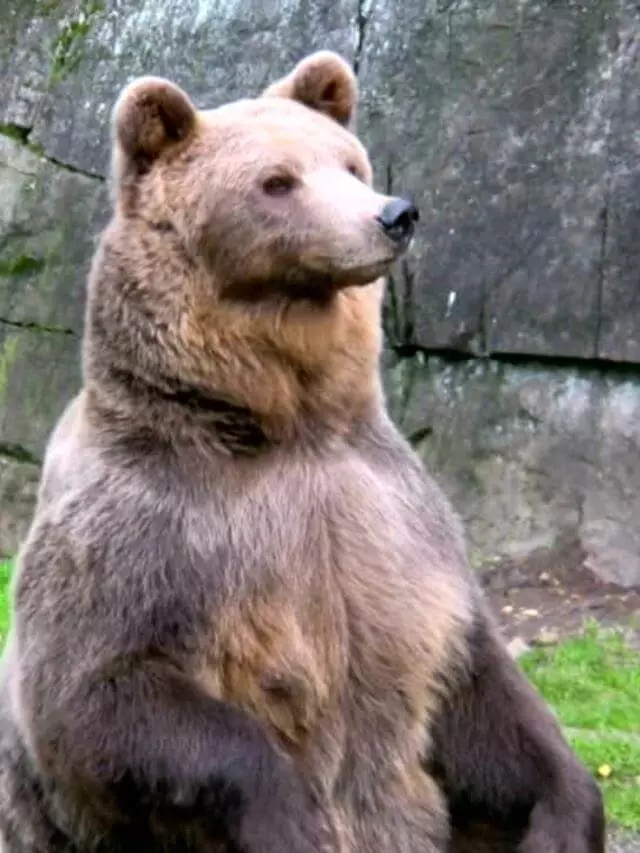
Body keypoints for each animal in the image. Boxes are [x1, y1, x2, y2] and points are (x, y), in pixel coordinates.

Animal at [0, 50, 604, 853]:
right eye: (277, 181)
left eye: (350, 162)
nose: (393, 213)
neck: (288, 423)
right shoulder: (146, 528)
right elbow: (96, 693)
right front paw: (291, 816)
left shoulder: (398, 523)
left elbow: (478, 689)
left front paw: (562, 814)